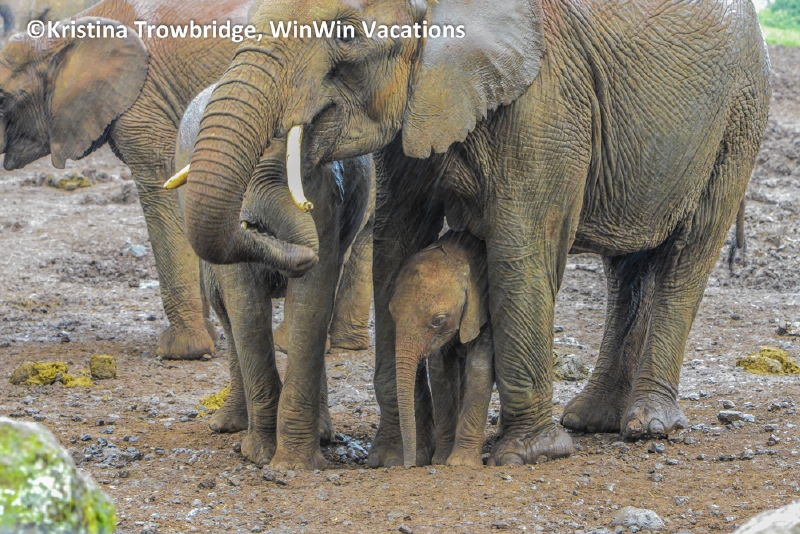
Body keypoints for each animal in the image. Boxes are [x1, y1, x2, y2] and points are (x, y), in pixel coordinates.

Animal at [174, 85, 375, 467]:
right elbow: (245, 303)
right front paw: (259, 454)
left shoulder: (328, 198)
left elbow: (310, 301)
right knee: (225, 310)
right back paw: (227, 426)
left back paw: (322, 433)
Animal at [390, 230, 494, 468]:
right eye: (391, 313)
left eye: (438, 321)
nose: (409, 465)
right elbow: (440, 372)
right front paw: (440, 460)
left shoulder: (484, 310)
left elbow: (479, 366)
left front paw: (461, 464)